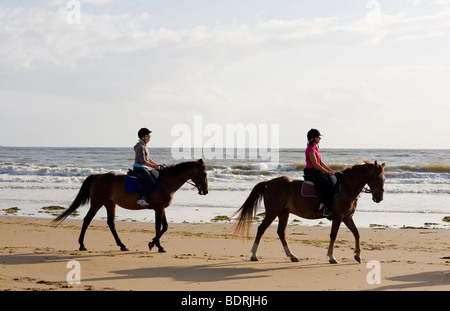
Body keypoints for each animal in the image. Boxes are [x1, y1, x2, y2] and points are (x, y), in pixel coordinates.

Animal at [54, 160, 207, 252]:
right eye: (204, 174)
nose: (205, 191)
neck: (166, 182)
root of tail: (97, 176)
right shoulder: (158, 208)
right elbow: (158, 227)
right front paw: (158, 246)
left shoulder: (161, 208)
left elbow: (165, 227)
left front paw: (153, 243)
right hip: (97, 202)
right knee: (87, 220)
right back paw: (82, 245)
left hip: (109, 203)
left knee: (111, 223)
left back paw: (122, 245)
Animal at [234, 161, 384, 266]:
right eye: (377, 178)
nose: (379, 198)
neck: (347, 187)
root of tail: (269, 182)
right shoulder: (338, 217)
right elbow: (333, 235)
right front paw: (331, 257)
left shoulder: (347, 217)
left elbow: (356, 233)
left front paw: (357, 255)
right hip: (273, 212)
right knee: (261, 229)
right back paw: (254, 255)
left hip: (283, 213)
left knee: (281, 232)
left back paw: (292, 256)